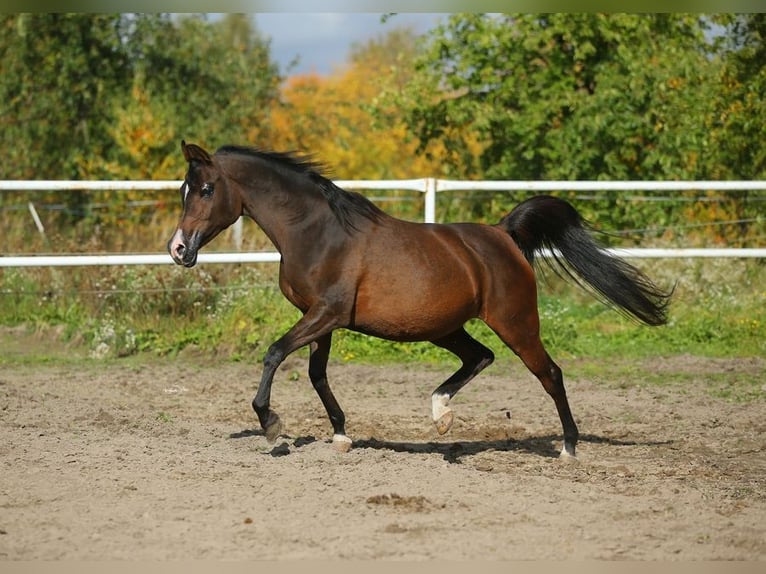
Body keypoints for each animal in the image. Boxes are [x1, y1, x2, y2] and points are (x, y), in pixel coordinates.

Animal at [168, 142, 672, 462]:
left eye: (207, 189)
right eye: (183, 190)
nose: (178, 249)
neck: (319, 233)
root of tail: (504, 234)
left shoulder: (325, 313)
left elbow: (274, 353)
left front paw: (271, 425)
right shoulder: (320, 318)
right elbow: (316, 374)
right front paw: (341, 435)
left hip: (515, 321)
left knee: (550, 373)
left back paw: (568, 448)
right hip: (446, 327)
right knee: (479, 357)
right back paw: (442, 416)